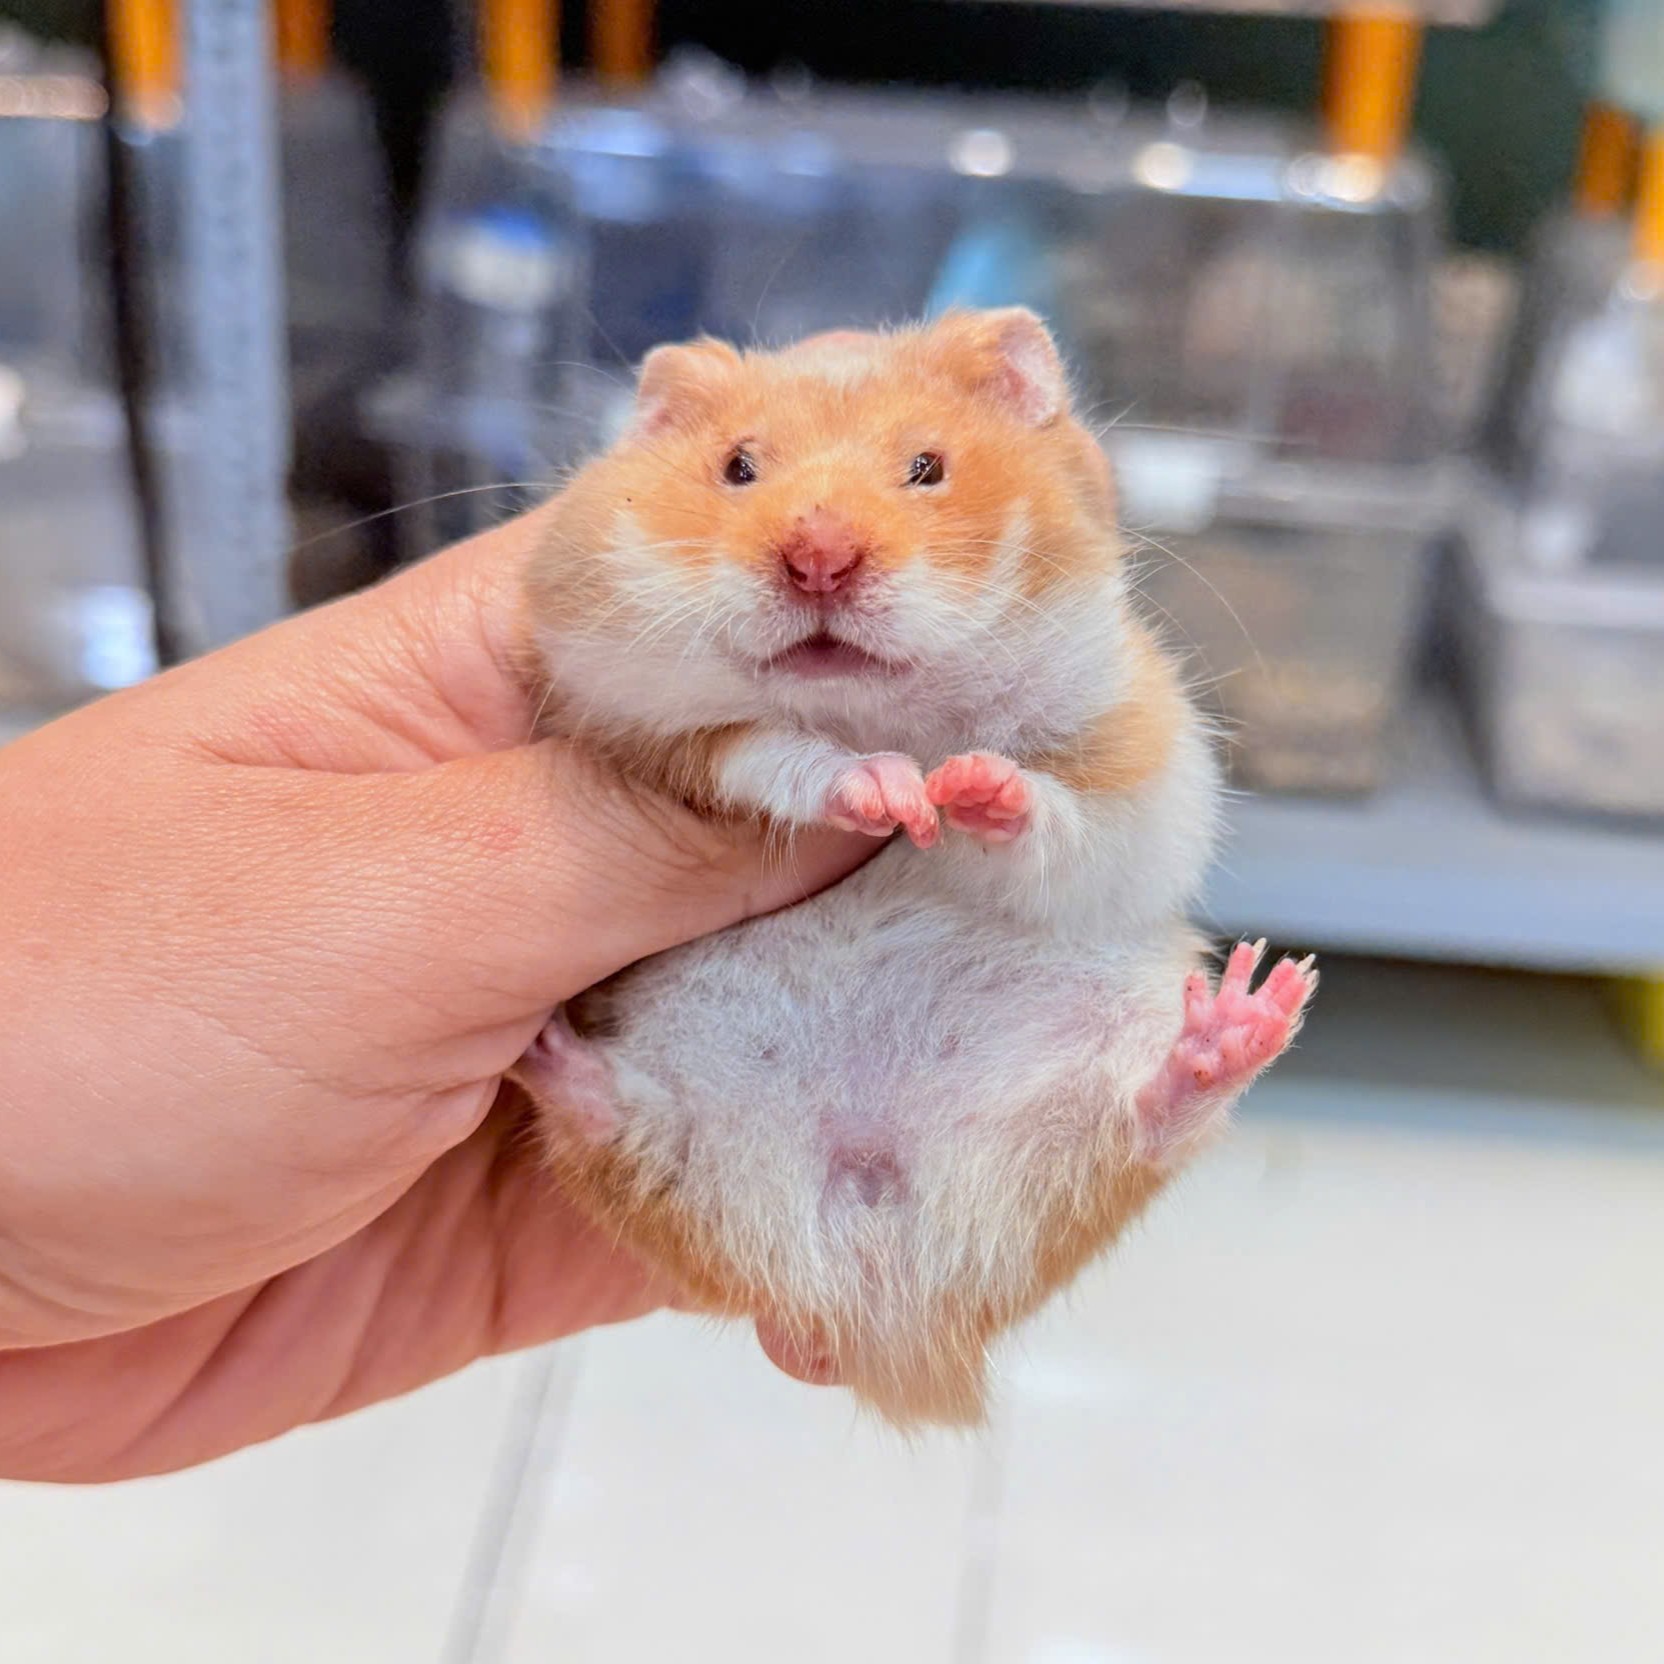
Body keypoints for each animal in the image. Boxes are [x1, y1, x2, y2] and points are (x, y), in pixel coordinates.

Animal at [512, 309, 1315, 1427]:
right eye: (738, 466)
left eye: (927, 468)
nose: (818, 558)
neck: (877, 706)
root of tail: (880, 1274)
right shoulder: (646, 732)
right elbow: (778, 749)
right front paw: (888, 789)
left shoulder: (1139, 757)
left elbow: (1063, 816)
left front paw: (969, 787)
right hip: (666, 1149)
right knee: (618, 1128)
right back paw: (544, 1053)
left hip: (1102, 1065)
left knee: (1141, 1120)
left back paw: (1242, 1017)